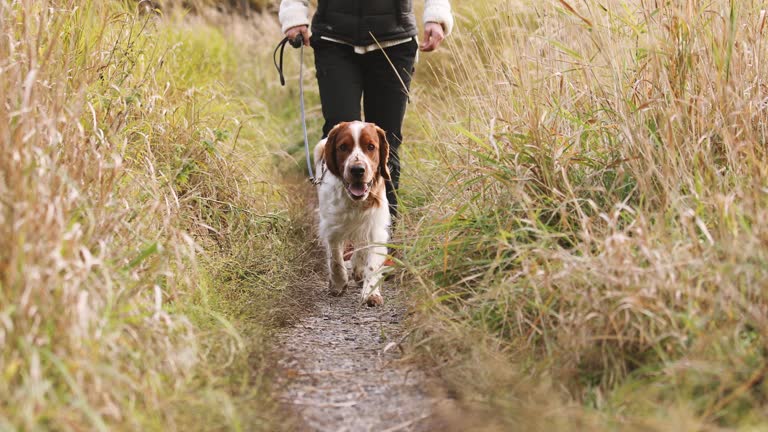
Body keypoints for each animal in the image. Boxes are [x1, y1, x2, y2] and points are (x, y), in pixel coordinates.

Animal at [312, 120, 390, 306]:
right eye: (342, 147)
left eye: (371, 146)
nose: (357, 170)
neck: (355, 202)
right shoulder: (331, 227)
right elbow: (335, 259)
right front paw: (338, 283)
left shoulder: (375, 227)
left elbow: (370, 261)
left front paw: (371, 293)